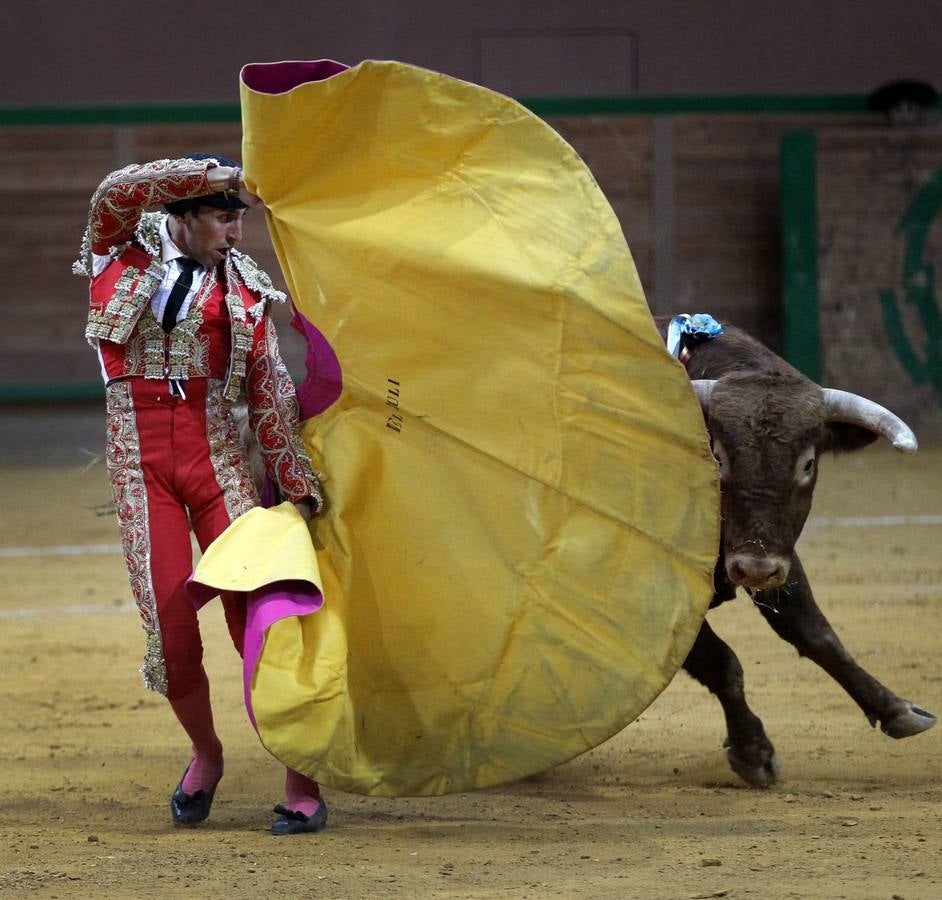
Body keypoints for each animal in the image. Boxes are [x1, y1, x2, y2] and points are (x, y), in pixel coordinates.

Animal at [660, 316, 940, 788]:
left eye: (808, 464)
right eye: (717, 456)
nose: (754, 569)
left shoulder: (781, 558)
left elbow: (817, 634)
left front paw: (896, 709)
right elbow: (722, 663)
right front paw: (753, 752)